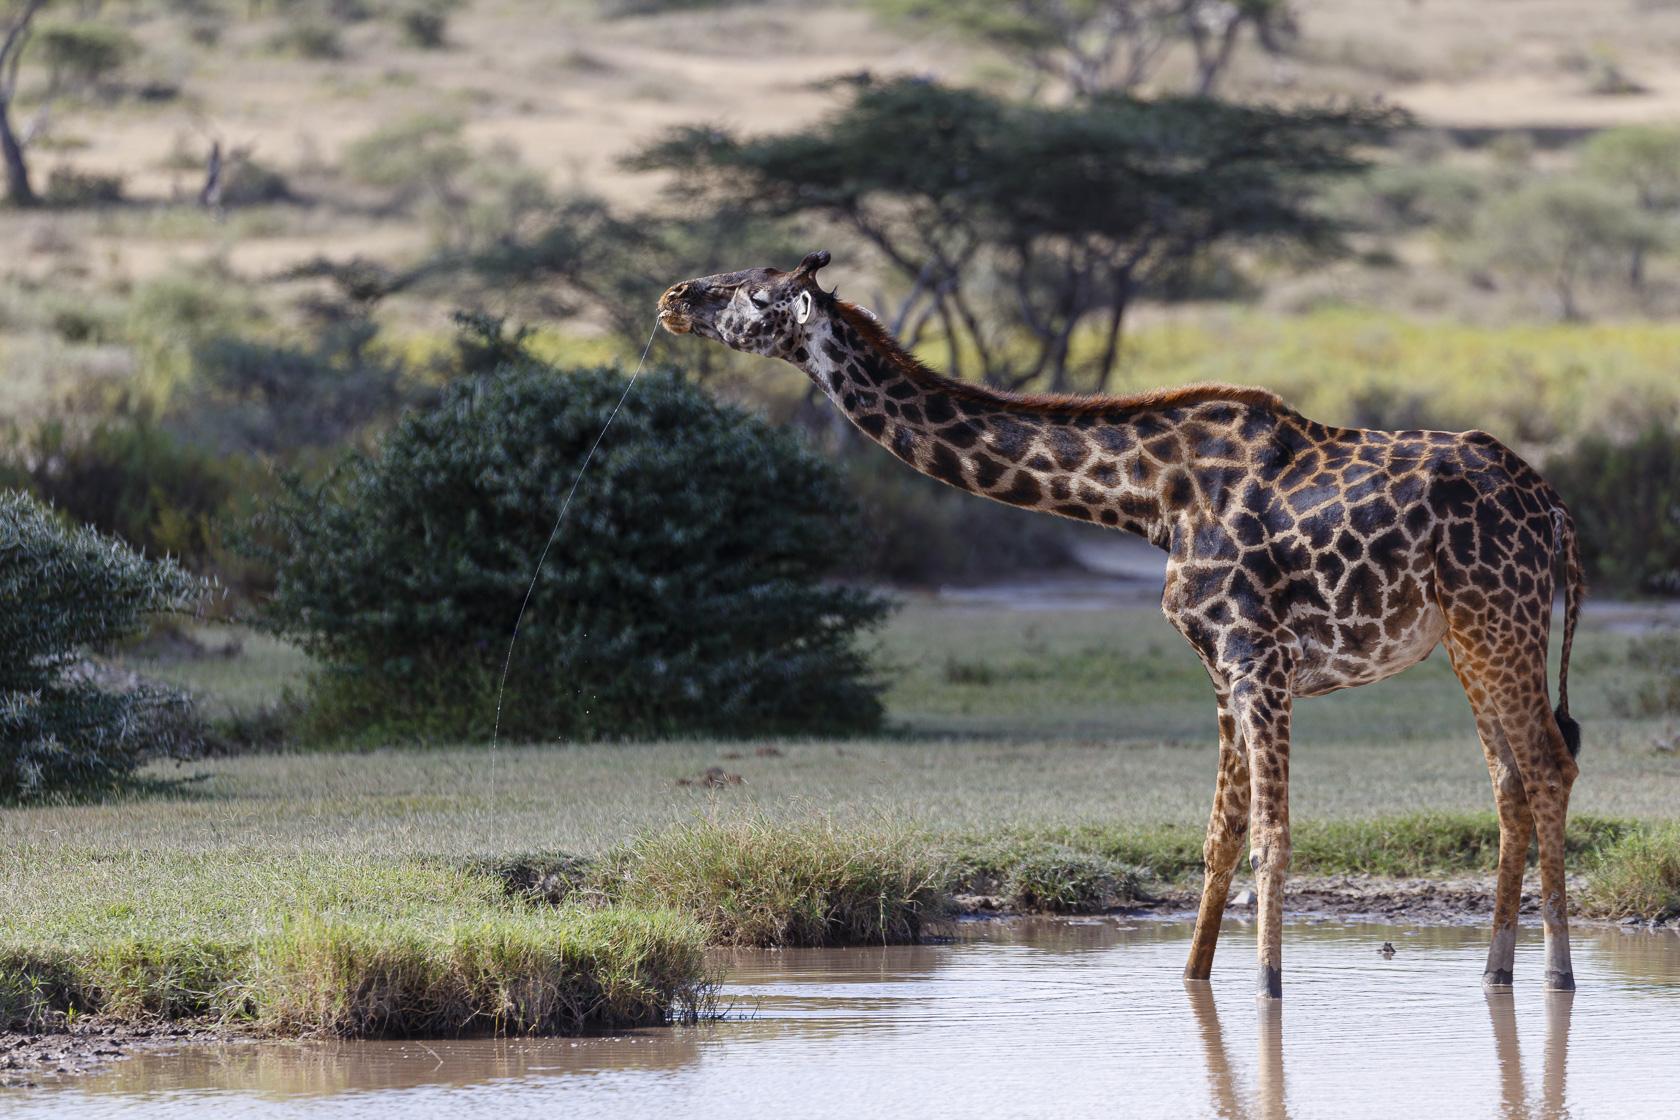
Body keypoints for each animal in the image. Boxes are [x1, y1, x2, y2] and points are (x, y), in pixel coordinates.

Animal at [658, 250, 1585, 994]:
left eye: (751, 292)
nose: (673, 296)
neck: (1149, 499)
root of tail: (1555, 511)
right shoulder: (1222, 666)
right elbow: (1220, 838)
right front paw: (1194, 982)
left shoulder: (1258, 660)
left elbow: (1271, 836)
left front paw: (1269, 990)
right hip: (1468, 637)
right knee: (1510, 781)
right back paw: (1495, 973)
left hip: (1501, 621)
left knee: (1548, 765)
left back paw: (1559, 974)